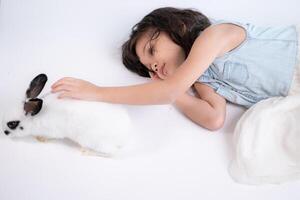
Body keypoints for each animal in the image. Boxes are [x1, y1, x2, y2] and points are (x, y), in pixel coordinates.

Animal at [1, 73, 132, 156]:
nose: (4, 132)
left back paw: (86, 151)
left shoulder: (53, 131)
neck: (37, 117)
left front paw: (41, 138)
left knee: (111, 153)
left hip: (91, 140)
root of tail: (128, 137)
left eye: (12, 124)